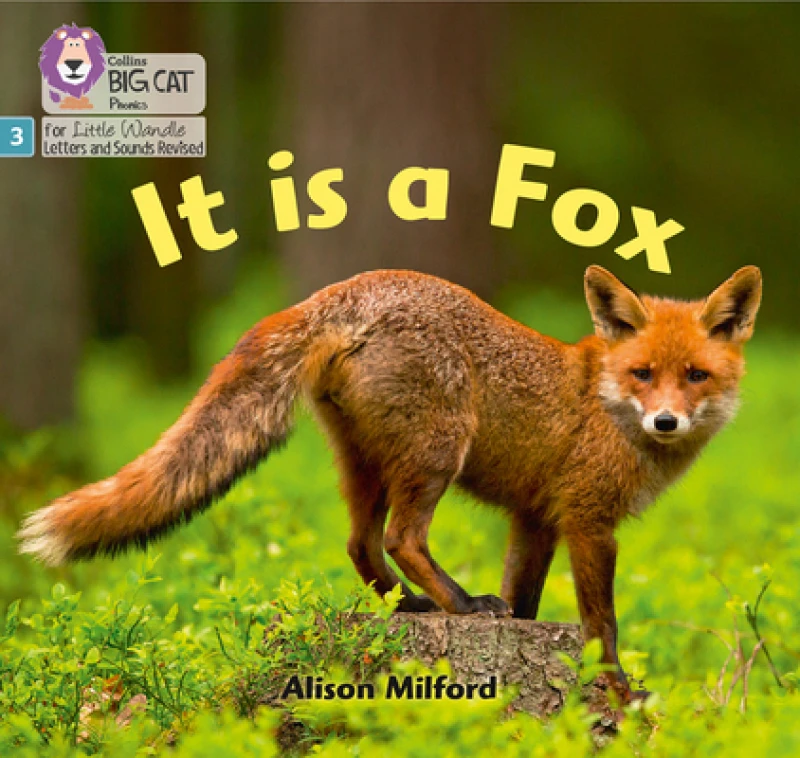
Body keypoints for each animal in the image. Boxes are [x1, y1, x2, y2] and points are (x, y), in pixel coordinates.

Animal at [18, 264, 761, 702]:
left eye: (696, 375)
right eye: (644, 374)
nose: (666, 421)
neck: (603, 401)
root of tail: (343, 288)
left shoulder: (535, 519)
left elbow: (527, 602)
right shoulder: (587, 519)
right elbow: (602, 621)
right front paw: (616, 690)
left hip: (366, 464)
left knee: (360, 545)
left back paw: (411, 607)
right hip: (435, 453)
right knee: (404, 538)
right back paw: (460, 605)